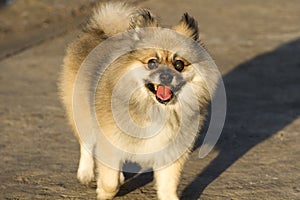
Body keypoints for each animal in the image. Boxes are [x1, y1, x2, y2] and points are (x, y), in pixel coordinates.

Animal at [58, 1, 218, 200]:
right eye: (152, 63)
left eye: (179, 64)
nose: (166, 76)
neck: (154, 109)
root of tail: (97, 30)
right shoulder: (110, 141)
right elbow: (109, 182)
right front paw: (104, 191)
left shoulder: (170, 154)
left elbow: (167, 186)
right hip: (82, 113)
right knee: (86, 144)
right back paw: (86, 174)